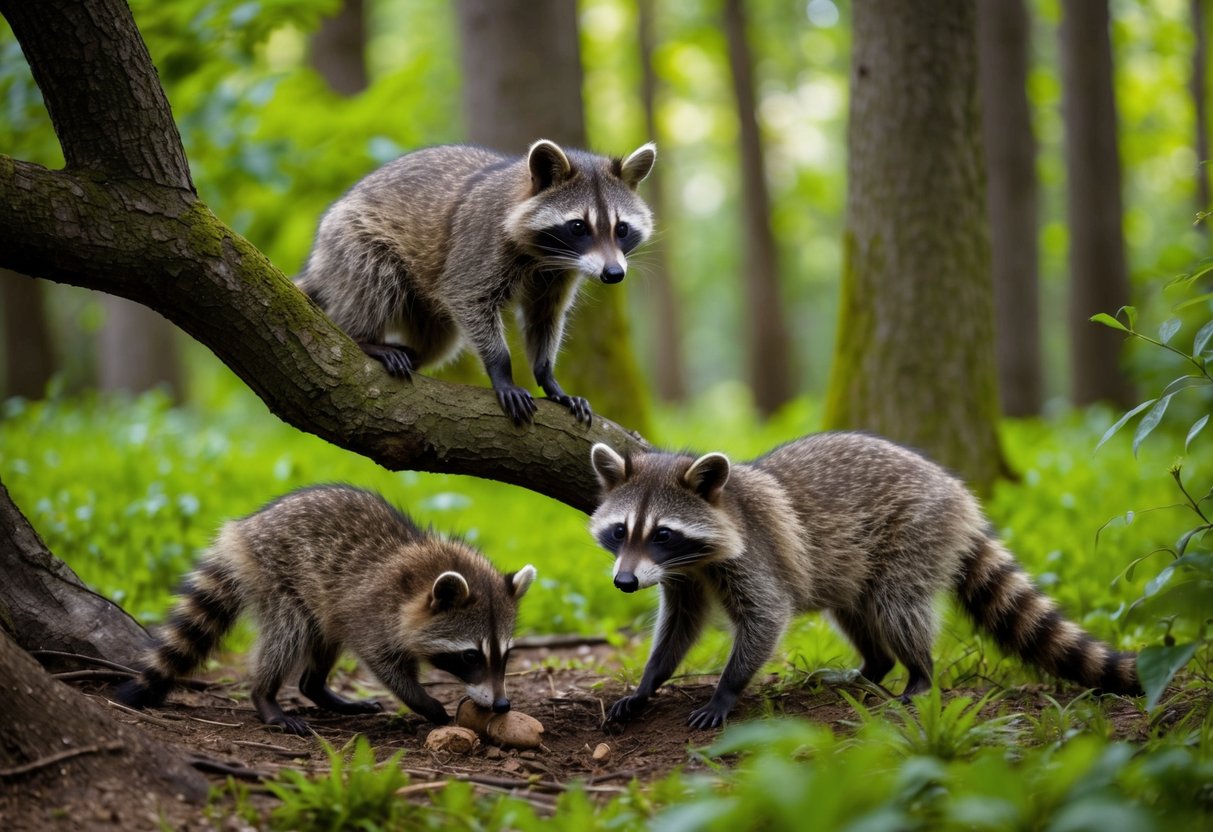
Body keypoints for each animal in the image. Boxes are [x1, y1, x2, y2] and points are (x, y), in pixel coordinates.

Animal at [116, 485, 535, 735]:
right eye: (470, 656)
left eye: (506, 655)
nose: (502, 704)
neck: (424, 577)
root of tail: (244, 530)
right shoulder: (373, 611)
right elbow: (384, 664)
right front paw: (424, 701)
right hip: (277, 575)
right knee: (287, 634)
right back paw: (265, 696)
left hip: (321, 602)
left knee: (322, 640)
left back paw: (316, 687)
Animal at [296, 139, 657, 425]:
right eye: (579, 226)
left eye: (621, 229)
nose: (614, 274)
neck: (546, 255)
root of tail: (319, 261)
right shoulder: (481, 242)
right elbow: (467, 297)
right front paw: (502, 370)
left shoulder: (557, 273)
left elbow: (545, 316)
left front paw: (547, 375)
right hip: (353, 243)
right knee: (373, 283)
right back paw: (361, 337)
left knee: (441, 339)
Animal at [588, 432, 1141, 730]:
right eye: (620, 531)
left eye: (662, 533)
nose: (624, 583)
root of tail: (957, 492)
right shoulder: (680, 577)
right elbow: (679, 625)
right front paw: (649, 680)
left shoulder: (754, 555)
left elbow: (766, 616)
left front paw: (726, 689)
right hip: (851, 564)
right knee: (853, 610)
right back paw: (875, 666)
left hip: (915, 532)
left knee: (899, 607)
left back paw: (918, 670)